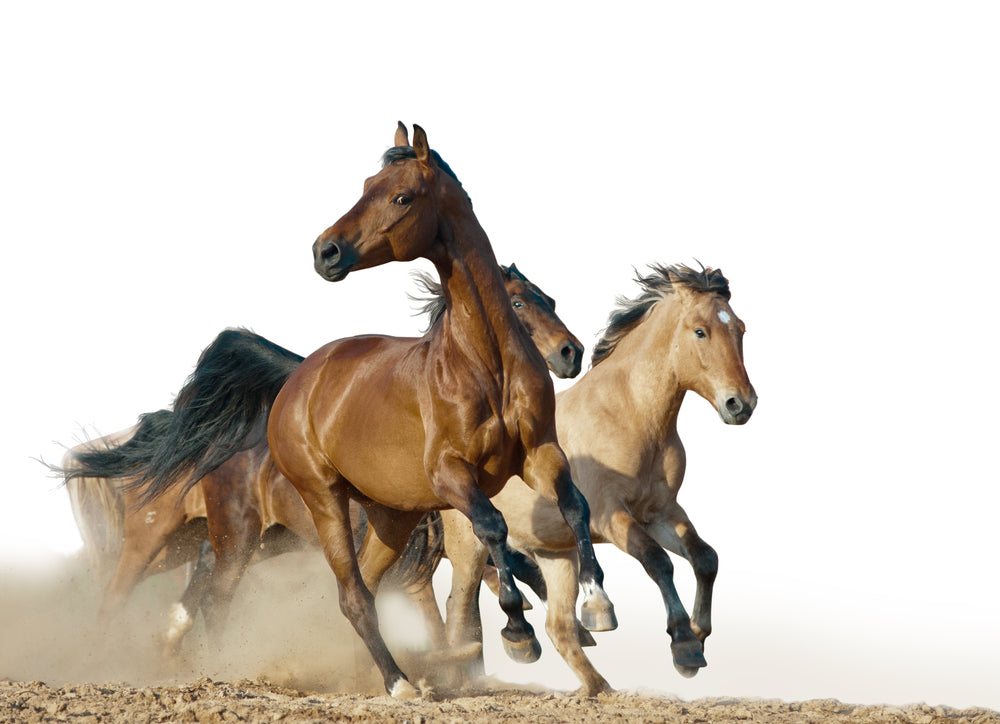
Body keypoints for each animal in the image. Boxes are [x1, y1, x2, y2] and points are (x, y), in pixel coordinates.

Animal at [64, 264, 580, 660]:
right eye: (517, 304)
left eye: (551, 299)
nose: (569, 353)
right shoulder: (415, 560)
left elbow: (506, 565)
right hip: (158, 540)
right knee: (120, 594)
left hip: (239, 541)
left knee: (193, 593)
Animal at [440, 262, 756, 696]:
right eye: (700, 331)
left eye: (740, 328)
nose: (741, 404)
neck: (631, 415)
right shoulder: (611, 517)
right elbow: (658, 562)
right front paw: (685, 646)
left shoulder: (661, 513)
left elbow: (706, 558)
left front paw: (698, 633)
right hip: (469, 549)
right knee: (460, 608)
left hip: (557, 556)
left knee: (558, 626)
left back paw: (597, 687)